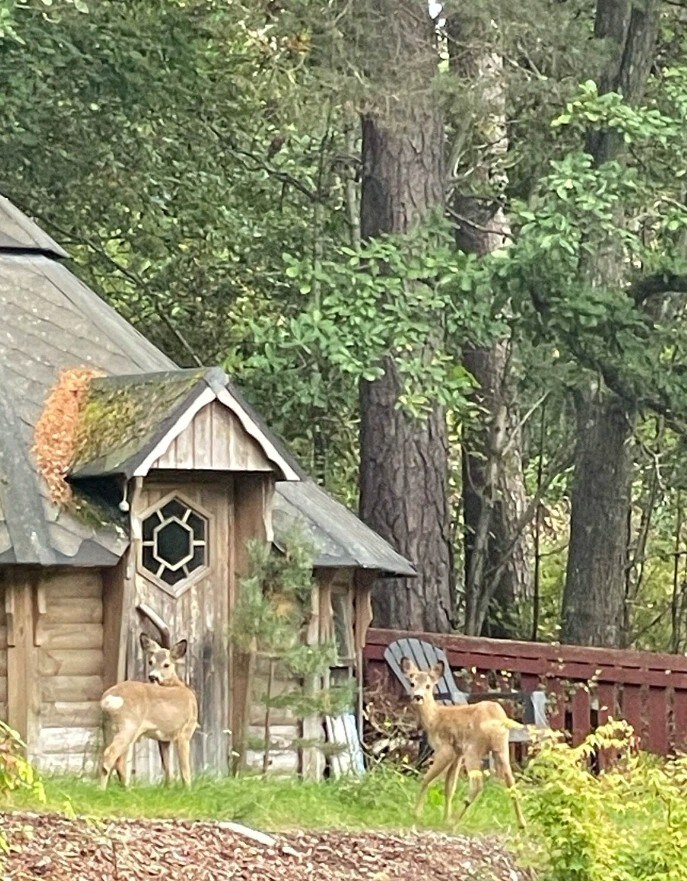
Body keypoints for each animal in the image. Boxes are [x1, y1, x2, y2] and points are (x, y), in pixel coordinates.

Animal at [101, 632, 200, 792]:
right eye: (150, 661)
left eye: (166, 664)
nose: (153, 677)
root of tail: (108, 699)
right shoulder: (185, 732)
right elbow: (185, 769)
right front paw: (188, 790)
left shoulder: (164, 739)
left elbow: (167, 767)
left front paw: (168, 788)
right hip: (128, 726)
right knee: (110, 755)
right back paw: (102, 790)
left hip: (110, 728)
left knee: (117, 760)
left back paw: (126, 789)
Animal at [400, 656, 524, 828]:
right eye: (412, 683)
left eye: (428, 686)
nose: (418, 697)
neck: (434, 718)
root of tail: (498, 719)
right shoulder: (457, 754)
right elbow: (449, 787)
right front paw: (444, 817)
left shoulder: (445, 749)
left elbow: (426, 779)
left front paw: (416, 814)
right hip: (501, 748)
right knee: (511, 781)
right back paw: (522, 824)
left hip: (473, 748)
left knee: (477, 784)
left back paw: (455, 821)